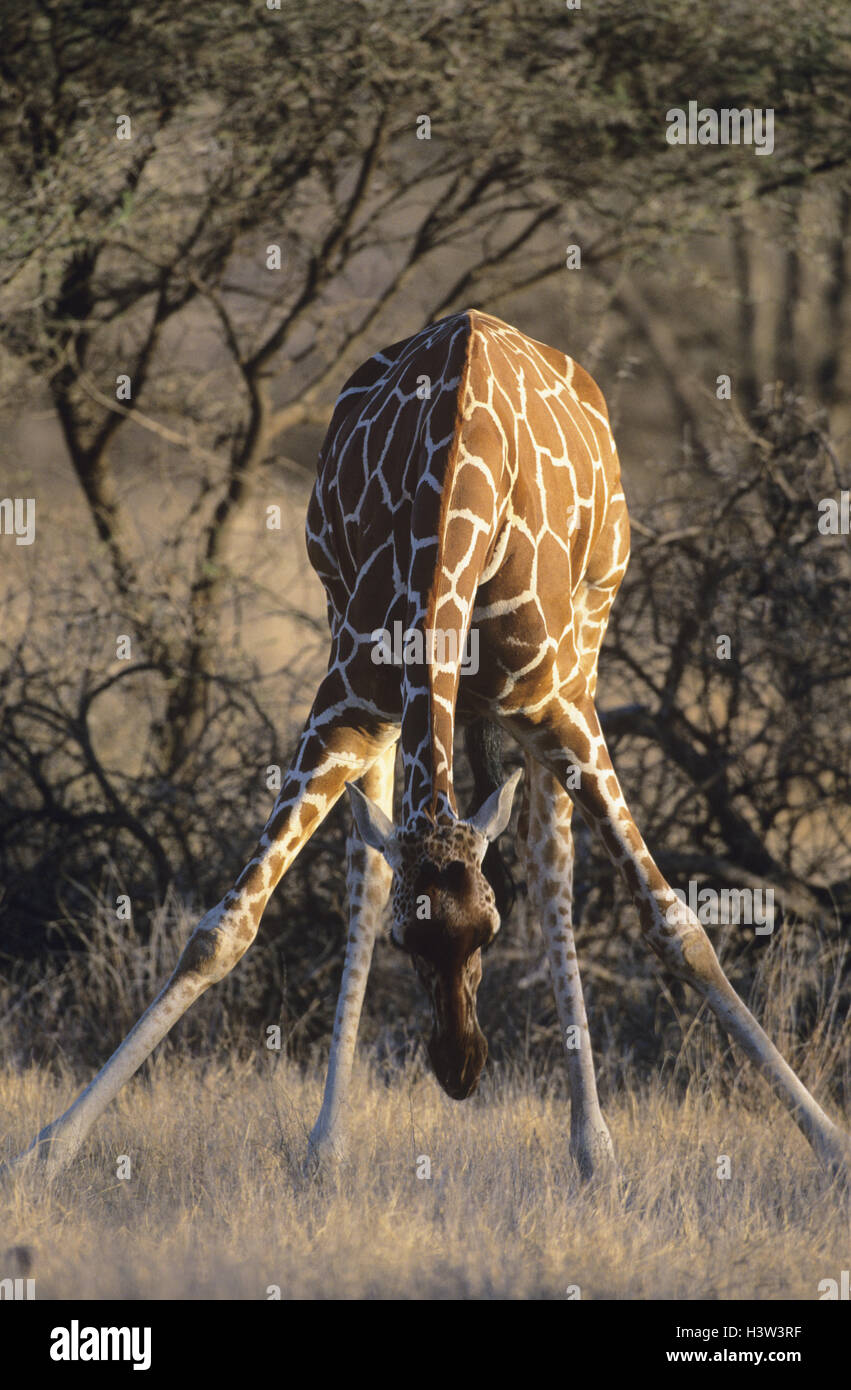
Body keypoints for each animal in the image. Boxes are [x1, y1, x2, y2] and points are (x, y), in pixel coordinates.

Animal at [4, 309, 845, 1178]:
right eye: (409, 941)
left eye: (489, 931)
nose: (461, 1073)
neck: (451, 515)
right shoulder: (346, 701)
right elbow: (223, 931)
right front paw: (46, 1152)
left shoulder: (559, 706)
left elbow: (675, 928)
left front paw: (829, 1142)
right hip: (365, 665)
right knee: (369, 869)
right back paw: (327, 1144)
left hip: (587, 639)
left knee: (552, 866)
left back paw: (592, 1148)